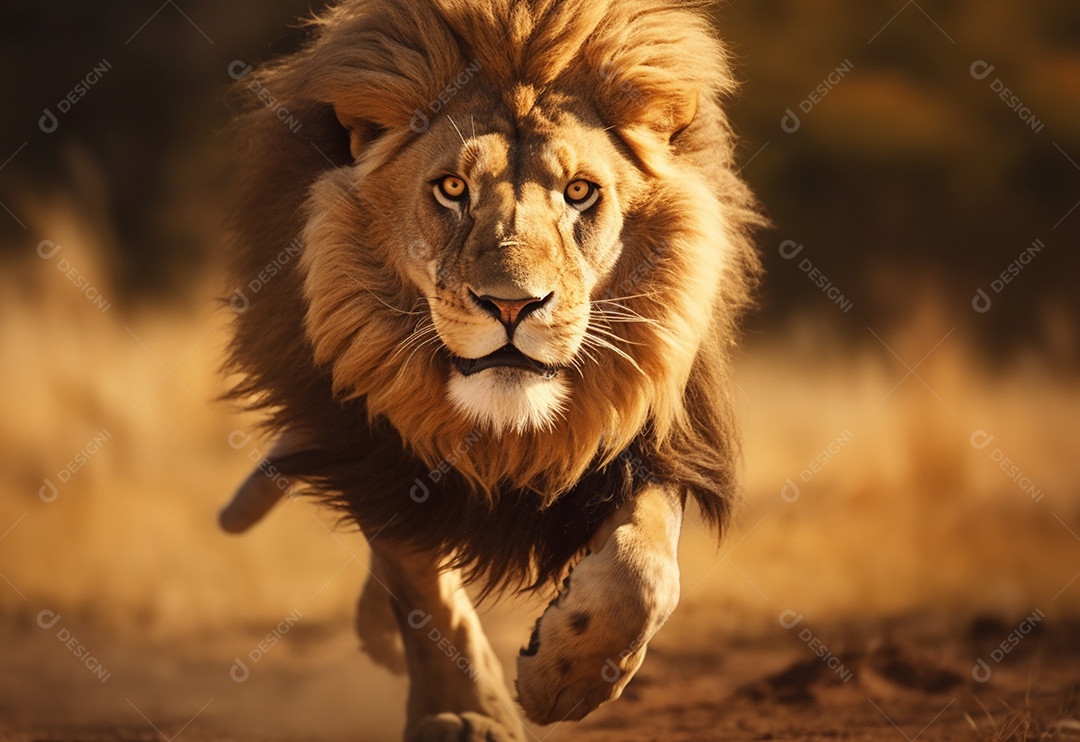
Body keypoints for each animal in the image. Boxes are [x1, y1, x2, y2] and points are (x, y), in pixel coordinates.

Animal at [220, 0, 762, 738]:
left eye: (580, 192)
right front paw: (468, 713)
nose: (512, 305)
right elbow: (423, 588)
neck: (507, 434)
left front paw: (566, 679)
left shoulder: (648, 435)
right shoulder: (378, 445)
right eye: (452, 189)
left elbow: (645, 574)